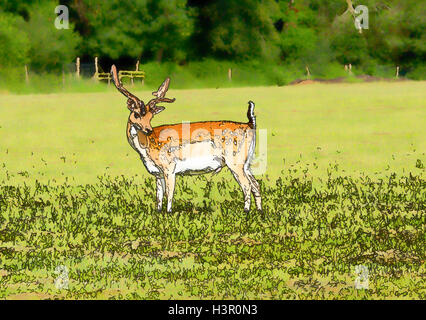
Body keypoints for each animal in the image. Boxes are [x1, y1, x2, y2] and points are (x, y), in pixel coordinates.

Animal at [111, 65, 262, 212]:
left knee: (247, 185)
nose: (148, 130)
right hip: (246, 163)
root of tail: (250, 124)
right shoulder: (157, 174)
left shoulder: (169, 167)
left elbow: (169, 194)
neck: (147, 149)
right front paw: (159, 213)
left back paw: (246, 211)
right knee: (256, 184)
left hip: (235, 161)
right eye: (136, 114)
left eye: (151, 116)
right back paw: (259, 212)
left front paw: (169, 213)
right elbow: (159, 197)